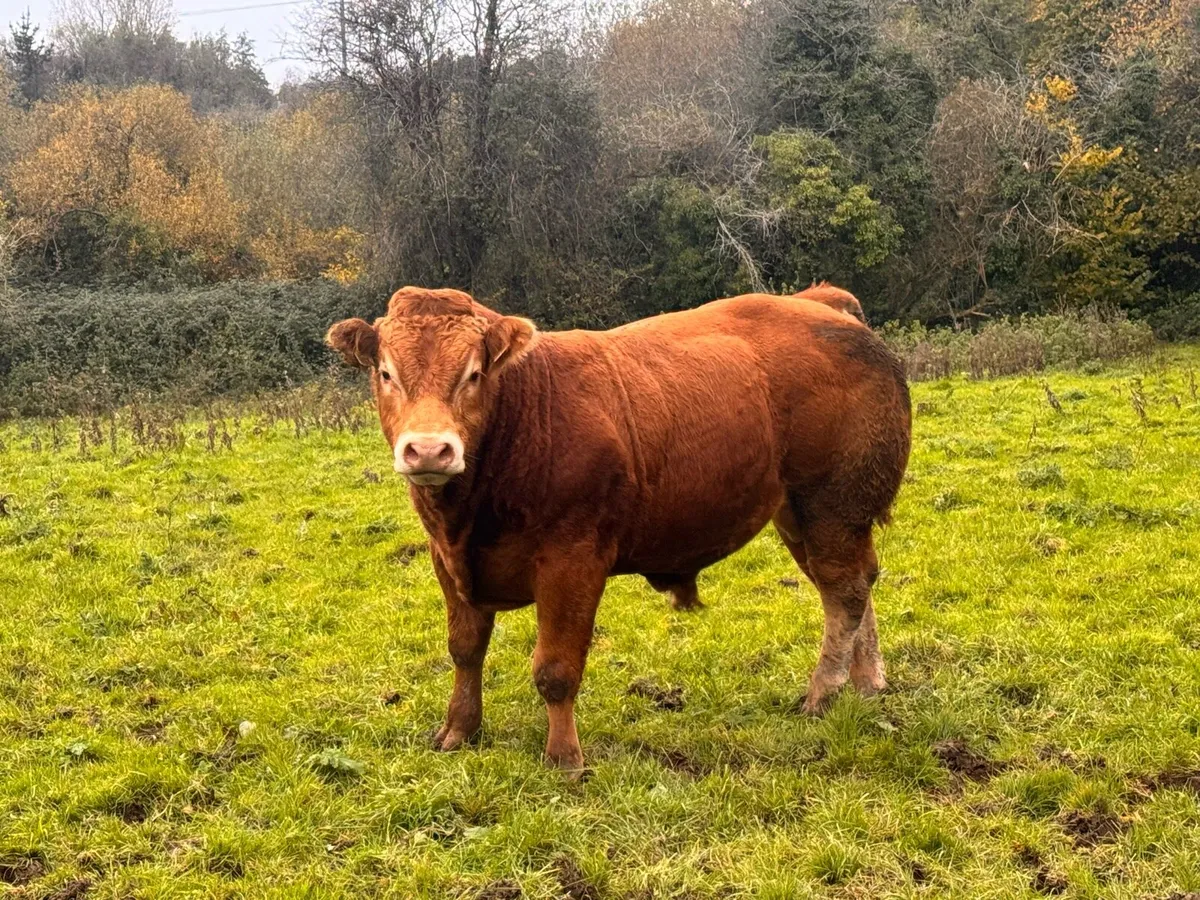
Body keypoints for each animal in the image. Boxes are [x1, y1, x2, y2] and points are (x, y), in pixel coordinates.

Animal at [326, 286, 911, 773]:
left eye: (473, 373)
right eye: (386, 373)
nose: (429, 449)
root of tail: (821, 303)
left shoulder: (572, 561)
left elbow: (555, 668)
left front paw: (564, 758)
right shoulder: (447, 560)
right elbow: (465, 650)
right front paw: (459, 731)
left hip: (833, 503)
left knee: (844, 591)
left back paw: (824, 692)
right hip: (801, 514)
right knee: (853, 585)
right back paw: (867, 683)